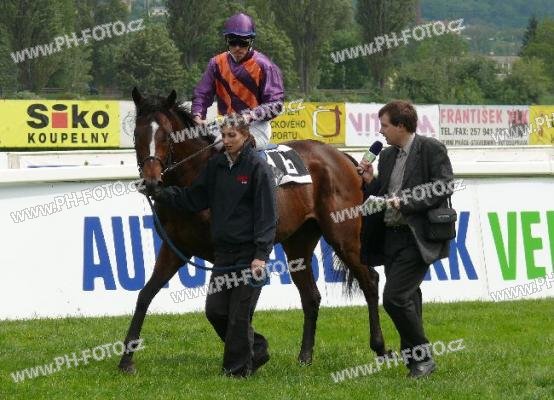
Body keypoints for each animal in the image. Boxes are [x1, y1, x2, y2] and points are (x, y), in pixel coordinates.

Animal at [118, 87, 388, 373]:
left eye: (166, 136)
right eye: (137, 133)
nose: (151, 182)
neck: (196, 179)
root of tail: (342, 157)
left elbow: (233, 308)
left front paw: (250, 353)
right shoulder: (174, 249)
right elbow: (145, 295)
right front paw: (126, 359)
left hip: (343, 235)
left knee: (370, 280)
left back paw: (380, 348)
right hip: (299, 243)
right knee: (311, 296)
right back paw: (304, 357)